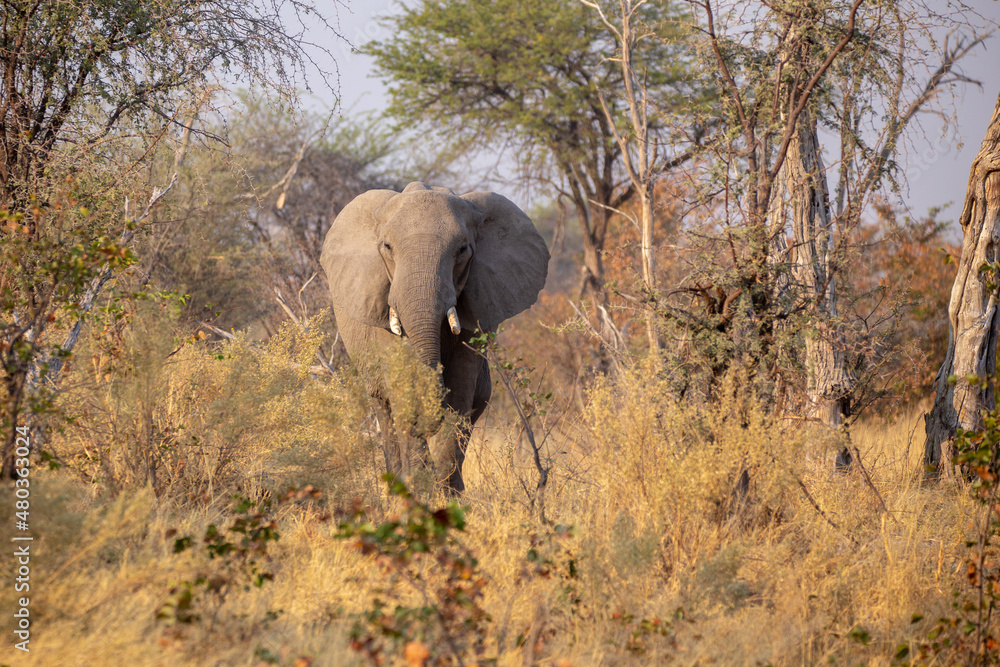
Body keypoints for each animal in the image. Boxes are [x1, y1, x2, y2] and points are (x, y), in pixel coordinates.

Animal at [320, 181, 549, 493]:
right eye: (387, 247)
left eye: (462, 249)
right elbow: (400, 390)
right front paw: (421, 490)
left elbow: (460, 391)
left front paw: (444, 494)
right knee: (384, 410)